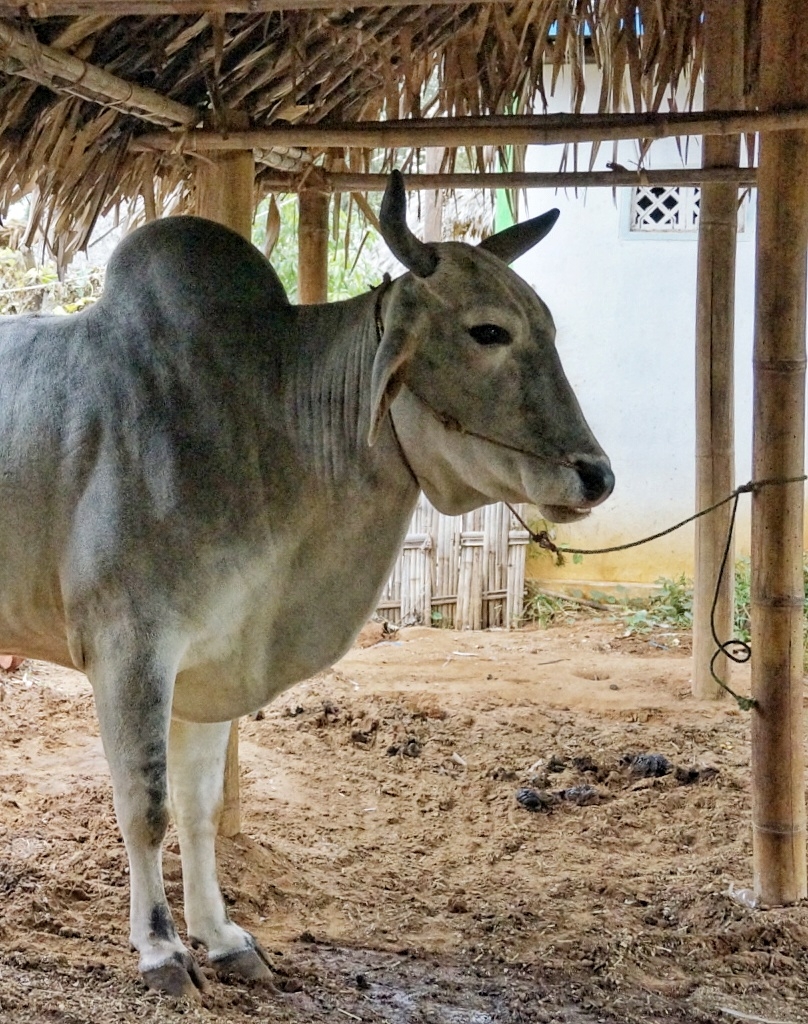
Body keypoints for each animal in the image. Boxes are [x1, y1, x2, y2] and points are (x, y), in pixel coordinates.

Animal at [0, 172, 610, 995]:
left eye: (546, 325)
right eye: (489, 332)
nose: (596, 475)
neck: (264, 419)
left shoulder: (210, 658)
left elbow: (197, 808)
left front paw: (222, 938)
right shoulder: (128, 649)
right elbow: (147, 809)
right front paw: (161, 949)